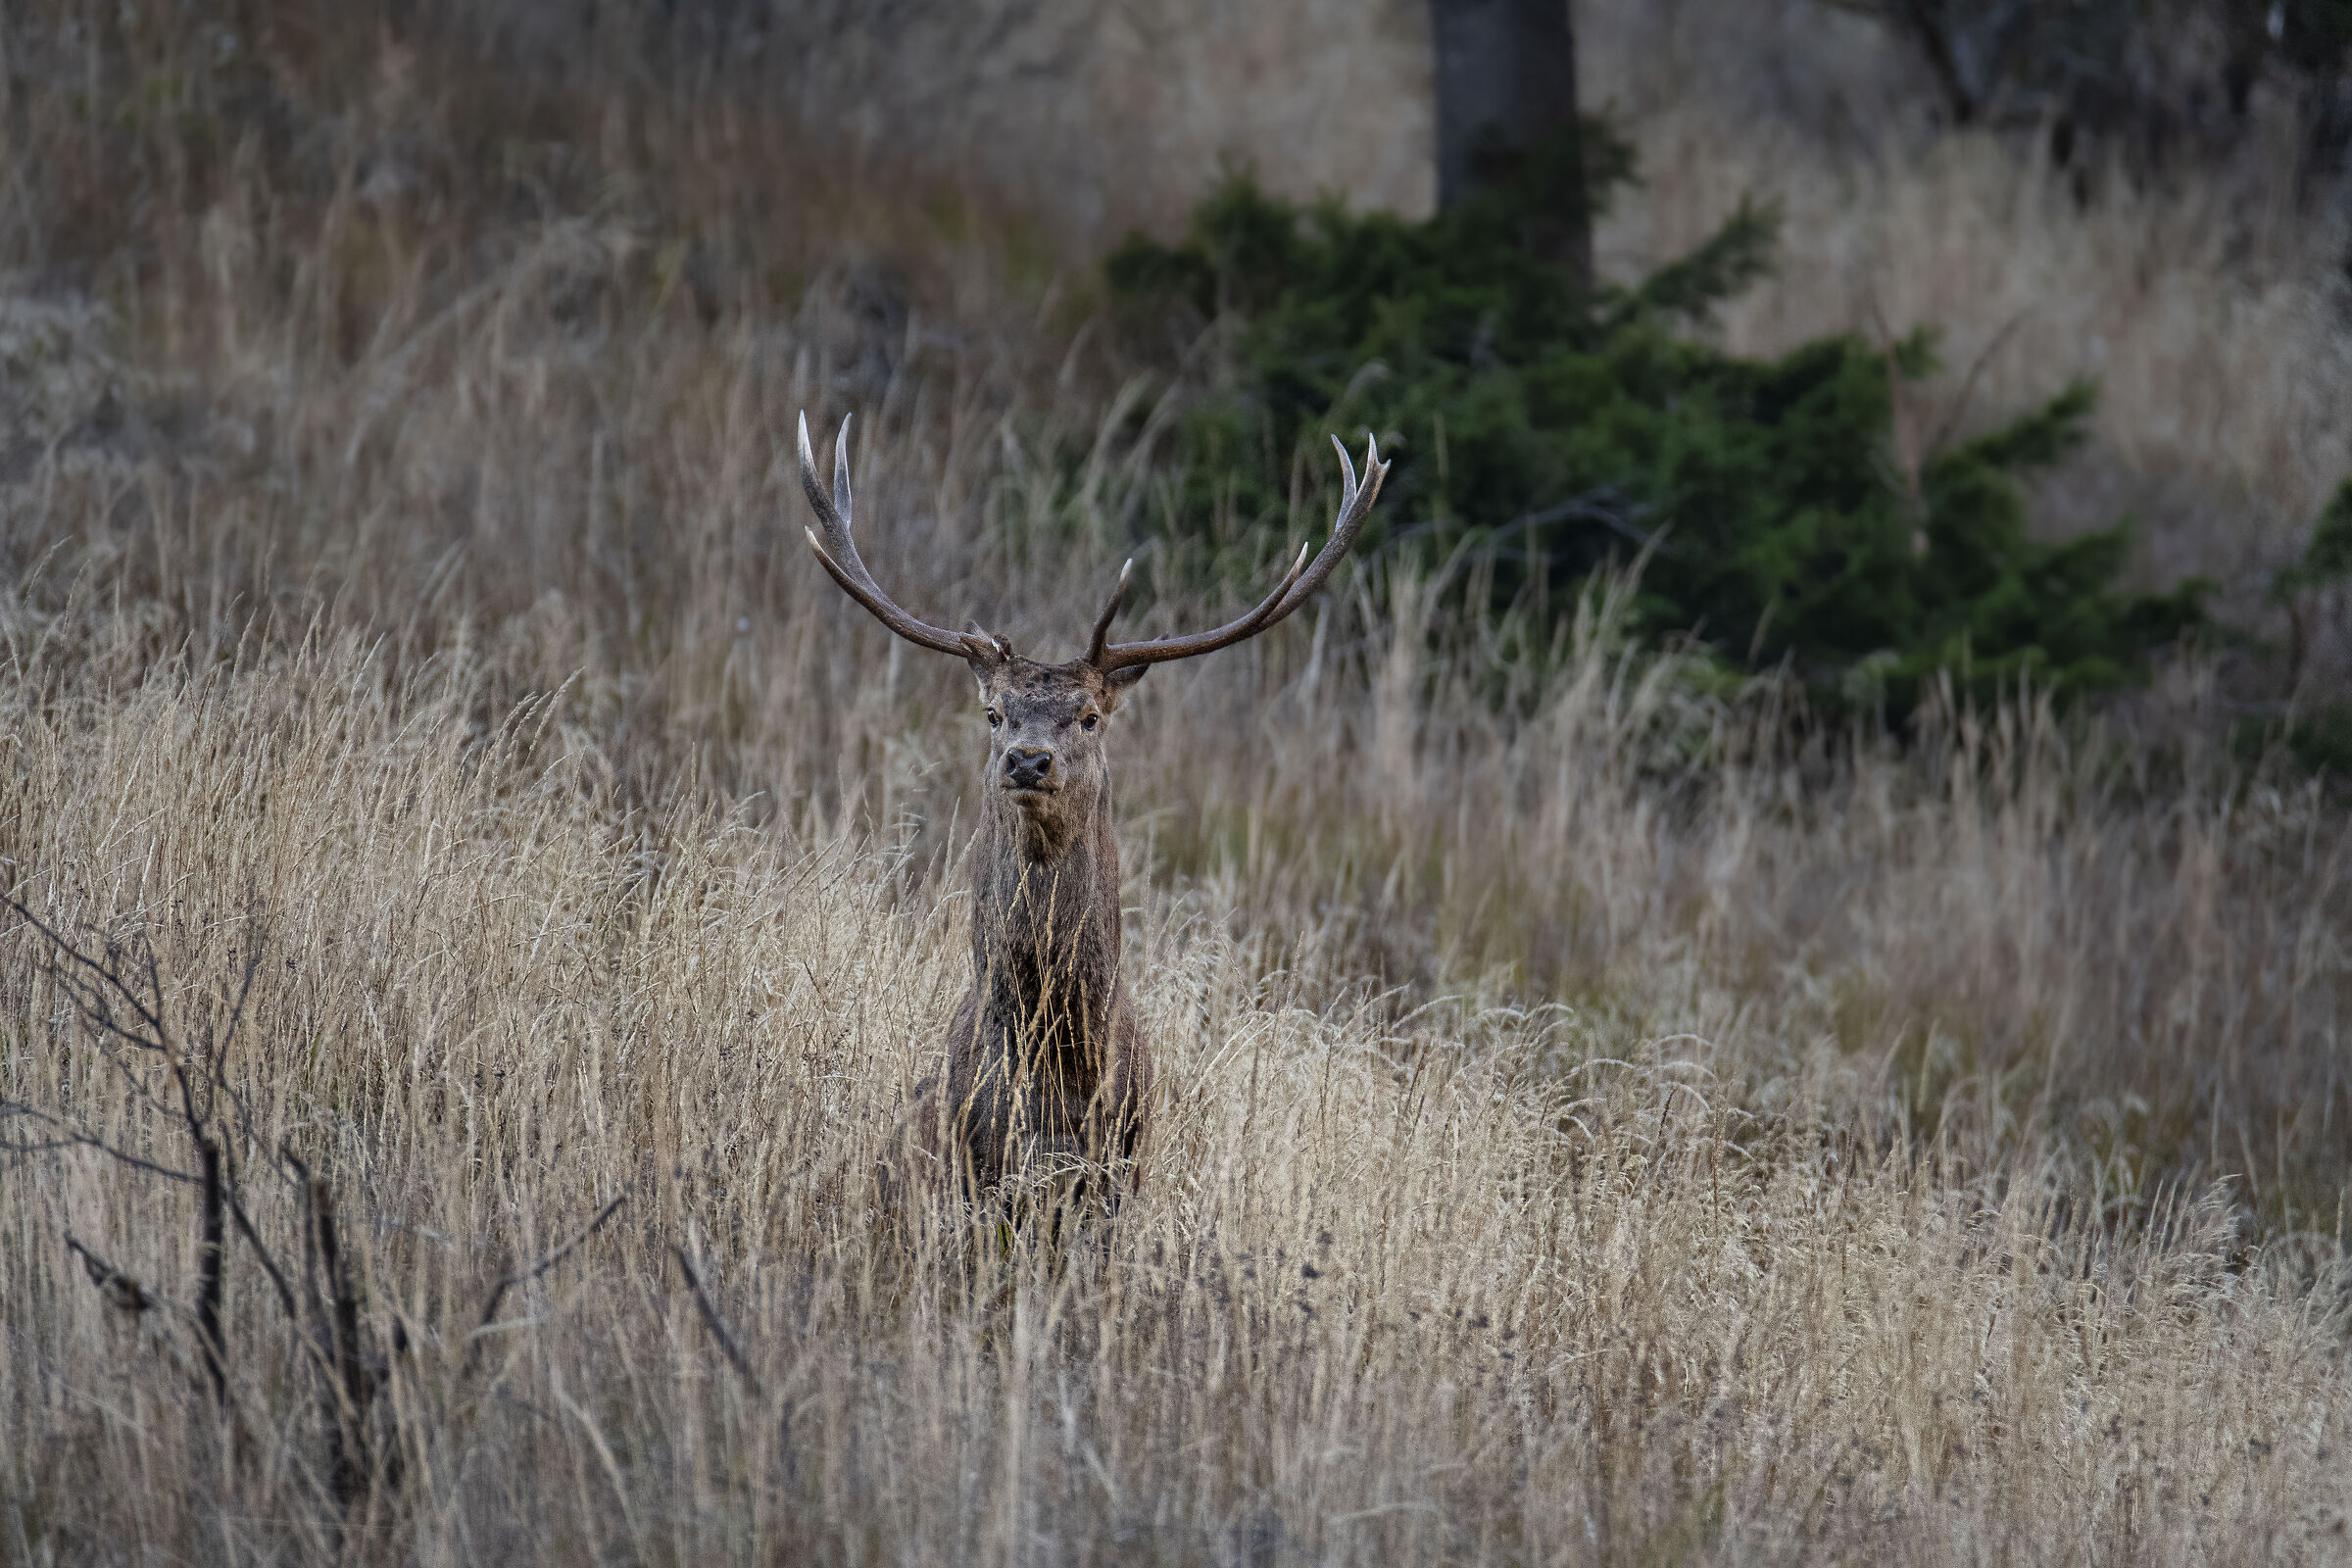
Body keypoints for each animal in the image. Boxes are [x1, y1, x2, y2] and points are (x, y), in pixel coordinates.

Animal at [797, 412, 1386, 1218]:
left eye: (1090, 717)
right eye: (993, 713)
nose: (1027, 760)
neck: (1060, 1081)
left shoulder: (1122, 1170)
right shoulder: (974, 1172)